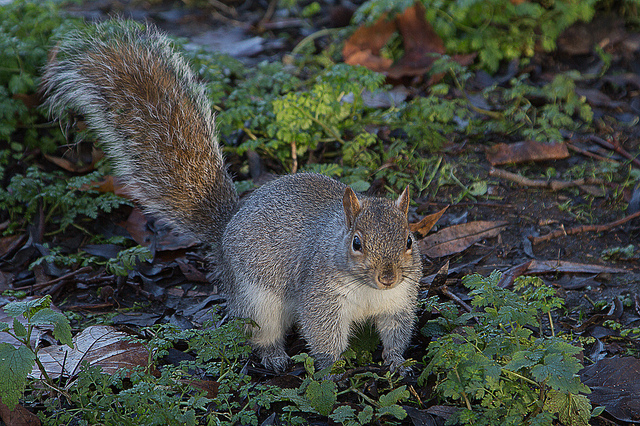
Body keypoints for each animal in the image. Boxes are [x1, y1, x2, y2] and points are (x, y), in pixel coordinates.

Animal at [38, 20, 420, 372]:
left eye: (409, 240)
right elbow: (323, 335)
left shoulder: (400, 302)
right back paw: (274, 357)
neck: (370, 291)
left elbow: (396, 334)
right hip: (257, 302)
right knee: (261, 333)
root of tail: (226, 230)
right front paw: (330, 369)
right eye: (356, 243)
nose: (388, 277)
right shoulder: (321, 296)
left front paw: (398, 362)